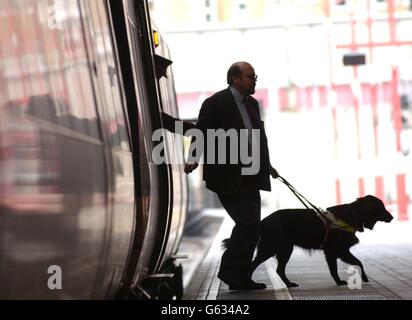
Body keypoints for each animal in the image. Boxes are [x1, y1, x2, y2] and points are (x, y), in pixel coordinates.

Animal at [227, 194, 394, 288]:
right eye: (381, 207)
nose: (392, 217)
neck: (352, 214)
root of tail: (263, 221)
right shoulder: (337, 250)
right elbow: (354, 264)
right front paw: (357, 279)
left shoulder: (335, 252)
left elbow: (347, 265)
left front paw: (343, 281)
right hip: (270, 247)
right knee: (252, 265)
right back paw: (251, 283)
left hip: (285, 249)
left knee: (279, 269)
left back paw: (289, 284)